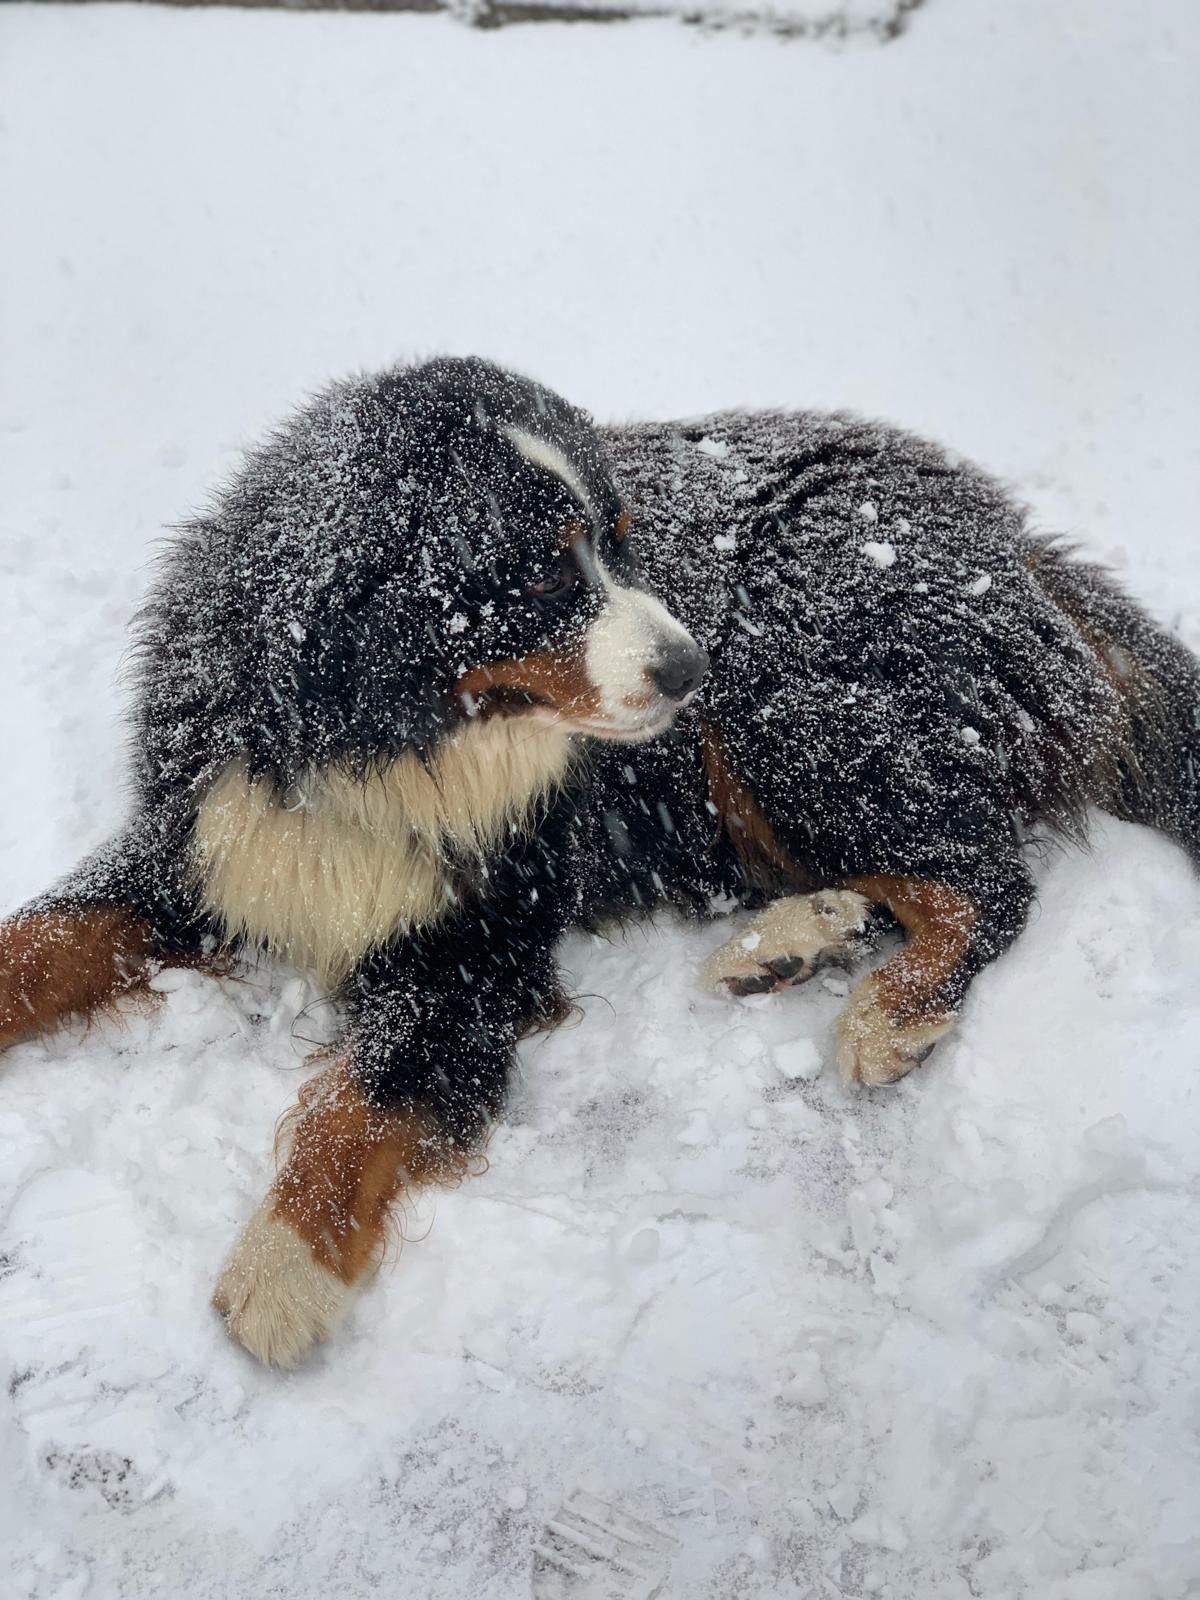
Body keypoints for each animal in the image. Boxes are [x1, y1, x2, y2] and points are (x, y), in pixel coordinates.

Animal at [2, 356, 1197, 1366]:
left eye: (621, 539)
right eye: (538, 578)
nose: (688, 664)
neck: (396, 750)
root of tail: (1011, 536)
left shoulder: (473, 953)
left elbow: (363, 1102)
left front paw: (282, 1268)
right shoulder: (210, 844)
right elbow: (43, 940)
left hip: (793, 706)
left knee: (987, 879)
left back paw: (887, 1013)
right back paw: (793, 942)